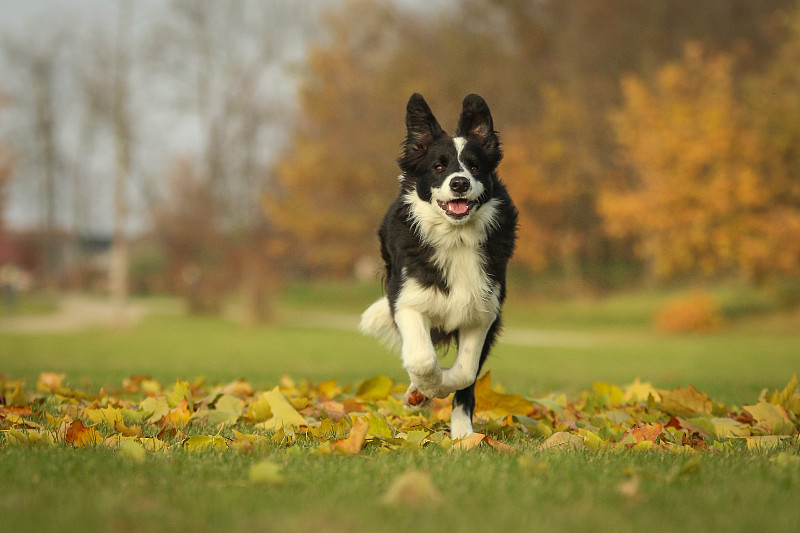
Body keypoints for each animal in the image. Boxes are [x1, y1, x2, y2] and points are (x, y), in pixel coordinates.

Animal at [360, 93, 520, 438]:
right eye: (438, 166)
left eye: (474, 166)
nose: (460, 183)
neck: (456, 237)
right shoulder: (406, 300)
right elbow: (422, 358)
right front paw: (424, 390)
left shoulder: (484, 312)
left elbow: (465, 372)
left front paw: (443, 394)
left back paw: (463, 434)